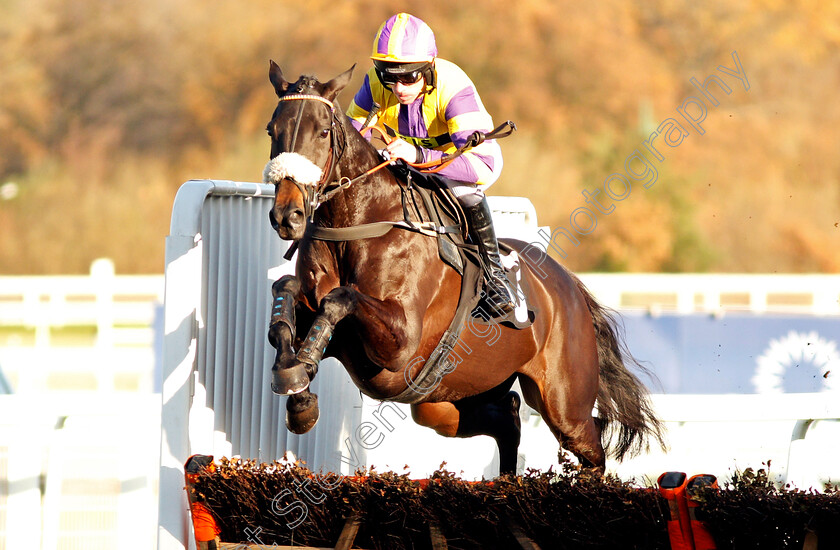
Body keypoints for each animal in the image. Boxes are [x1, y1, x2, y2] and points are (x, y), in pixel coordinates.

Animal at [262, 59, 664, 474]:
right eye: (272, 130)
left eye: (323, 131)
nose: (287, 216)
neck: (359, 224)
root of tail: (571, 287)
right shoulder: (342, 335)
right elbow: (286, 298)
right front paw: (296, 384)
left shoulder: (400, 339)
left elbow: (340, 299)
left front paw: (301, 370)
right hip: (443, 400)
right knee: (508, 417)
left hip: (565, 404)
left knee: (591, 447)